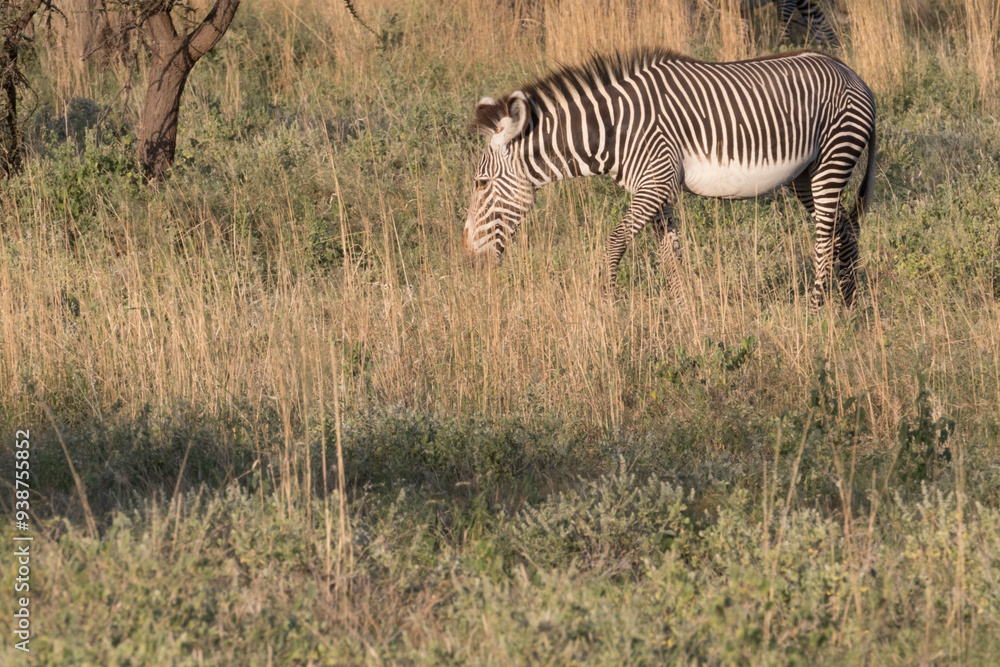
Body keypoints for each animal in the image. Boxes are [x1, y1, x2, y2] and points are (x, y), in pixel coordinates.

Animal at [462, 48, 876, 309]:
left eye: (481, 183)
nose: (470, 264)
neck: (613, 131)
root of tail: (854, 74)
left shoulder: (655, 183)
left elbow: (614, 242)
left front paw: (606, 305)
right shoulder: (659, 191)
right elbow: (670, 255)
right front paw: (684, 315)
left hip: (832, 158)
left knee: (825, 238)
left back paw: (816, 312)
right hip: (806, 175)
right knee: (844, 230)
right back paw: (851, 311)